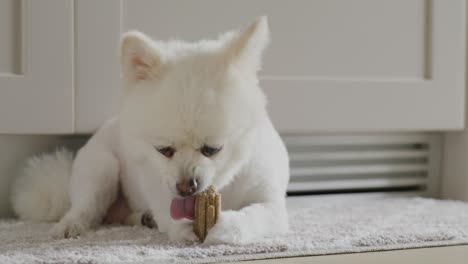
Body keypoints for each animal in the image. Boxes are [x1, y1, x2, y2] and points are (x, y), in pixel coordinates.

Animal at [10, 16, 288, 243]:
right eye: (164, 150)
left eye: (212, 149)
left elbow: (256, 214)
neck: (220, 188)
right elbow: (166, 209)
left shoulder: (273, 204)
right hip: (101, 167)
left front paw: (228, 227)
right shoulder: (157, 183)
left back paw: (141, 218)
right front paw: (182, 227)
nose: (186, 187)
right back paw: (70, 225)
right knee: (87, 207)